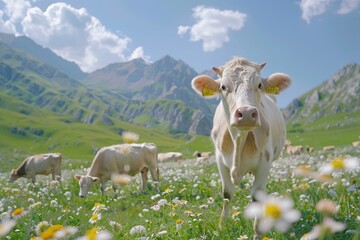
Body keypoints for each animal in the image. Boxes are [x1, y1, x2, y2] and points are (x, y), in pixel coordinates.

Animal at [191, 56, 290, 238]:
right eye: (223, 87)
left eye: (259, 85)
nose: (246, 113)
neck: (239, 140)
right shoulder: (219, 159)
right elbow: (226, 194)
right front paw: (221, 228)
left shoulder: (265, 160)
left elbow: (257, 197)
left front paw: (258, 234)